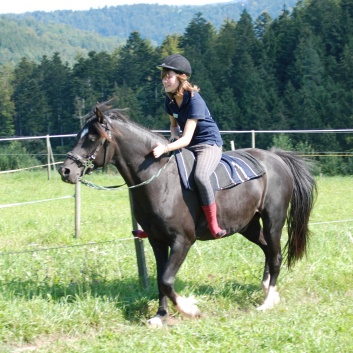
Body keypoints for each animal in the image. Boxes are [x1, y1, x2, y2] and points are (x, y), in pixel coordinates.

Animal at [59, 104, 314, 328]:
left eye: (92, 138)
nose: (66, 170)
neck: (161, 179)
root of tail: (277, 159)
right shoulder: (157, 241)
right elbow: (160, 279)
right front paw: (160, 316)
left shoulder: (182, 240)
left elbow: (166, 280)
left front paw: (189, 308)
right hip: (247, 225)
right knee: (267, 250)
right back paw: (267, 288)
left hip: (273, 220)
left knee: (276, 255)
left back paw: (268, 301)